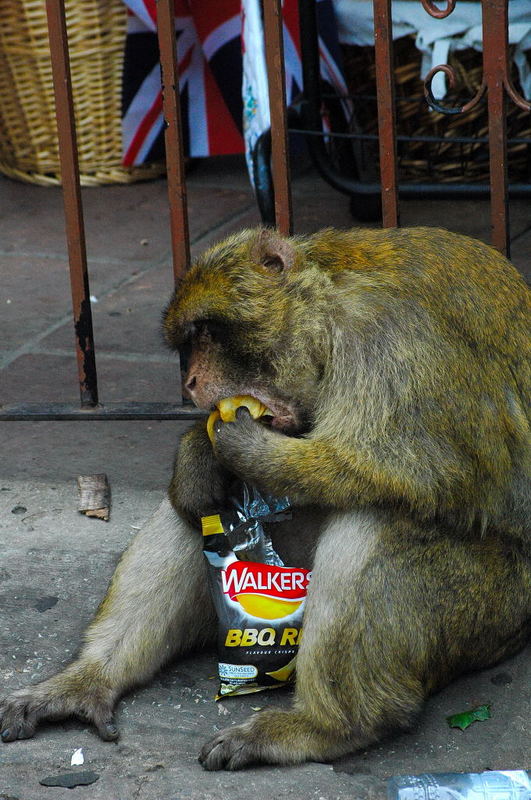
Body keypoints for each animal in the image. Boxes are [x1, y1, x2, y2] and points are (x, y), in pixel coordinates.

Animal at [0, 223, 528, 768]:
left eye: (207, 332)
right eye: (192, 340)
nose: (191, 383)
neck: (330, 302)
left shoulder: (391, 339)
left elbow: (414, 472)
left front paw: (243, 444)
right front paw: (198, 454)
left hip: (487, 611)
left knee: (378, 519)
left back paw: (330, 727)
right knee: (197, 513)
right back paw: (91, 678)